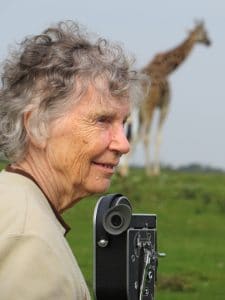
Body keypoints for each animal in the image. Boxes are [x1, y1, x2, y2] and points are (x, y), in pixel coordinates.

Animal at [119, 20, 211, 176]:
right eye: (204, 33)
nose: (209, 42)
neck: (166, 68)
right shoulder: (164, 106)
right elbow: (158, 137)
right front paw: (155, 171)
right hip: (147, 108)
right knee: (143, 135)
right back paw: (143, 170)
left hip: (135, 111)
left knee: (132, 134)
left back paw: (123, 170)